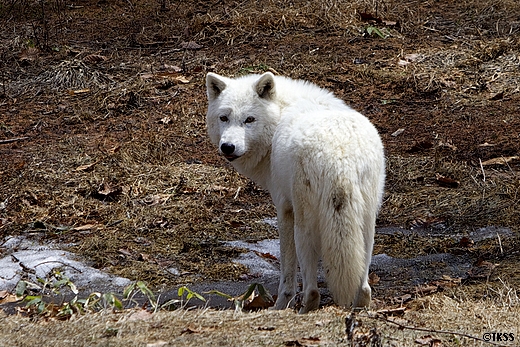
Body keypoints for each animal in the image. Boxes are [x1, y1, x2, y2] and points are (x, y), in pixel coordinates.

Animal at [205, 72, 384, 314]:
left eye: (249, 119)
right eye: (224, 118)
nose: (227, 147)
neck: (279, 117)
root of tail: (340, 157)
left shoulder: (283, 210)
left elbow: (287, 271)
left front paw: (280, 306)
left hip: (304, 226)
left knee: (313, 290)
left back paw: (304, 309)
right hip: (366, 225)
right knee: (364, 287)